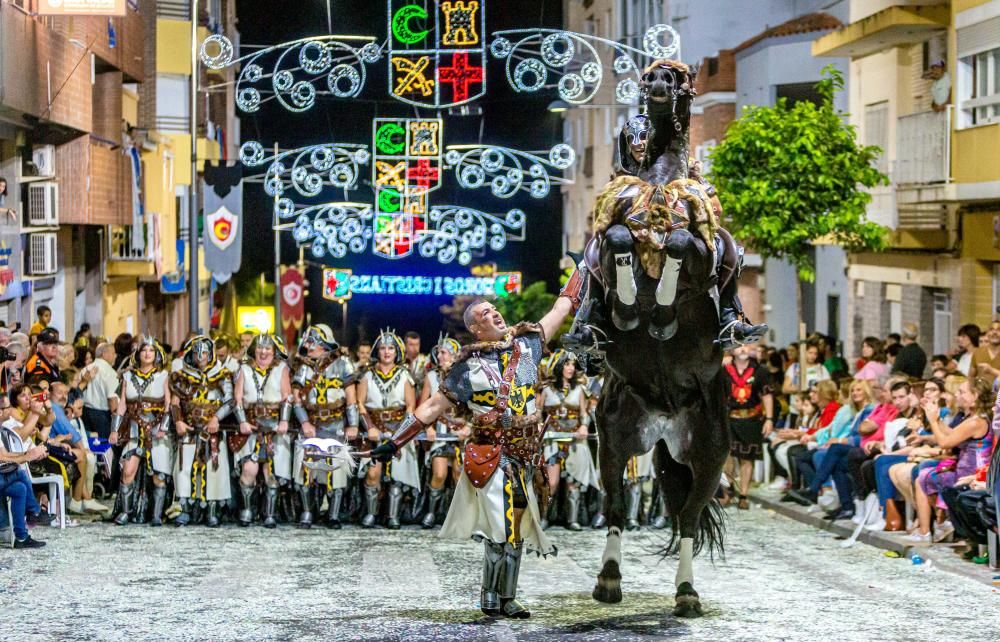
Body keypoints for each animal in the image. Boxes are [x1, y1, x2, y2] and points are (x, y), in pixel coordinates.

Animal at [580, 60, 736, 616]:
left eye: (676, 77)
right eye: (651, 77)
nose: (657, 87)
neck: (659, 186)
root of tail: (665, 423)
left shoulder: (700, 254)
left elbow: (682, 239)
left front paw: (664, 306)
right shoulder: (608, 246)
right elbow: (619, 237)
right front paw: (631, 304)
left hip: (710, 453)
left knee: (688, 517)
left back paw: (687, 593)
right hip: (611, 441)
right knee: (613, 506)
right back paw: (608, 580)